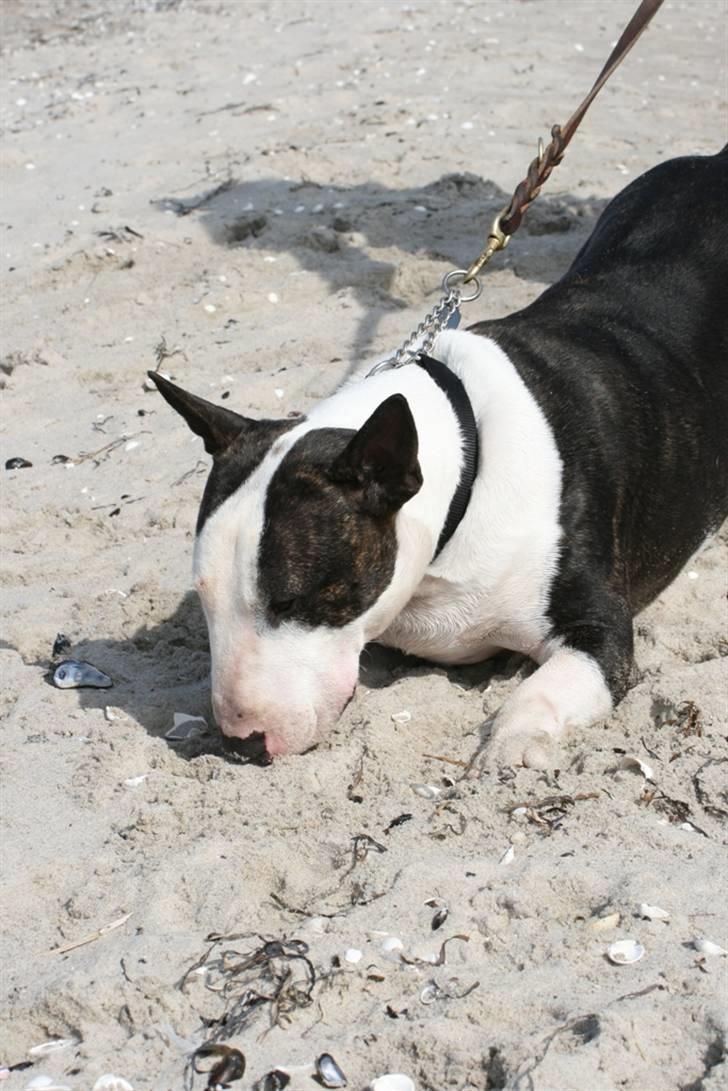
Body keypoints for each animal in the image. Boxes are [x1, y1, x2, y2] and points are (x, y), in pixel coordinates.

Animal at [150, 149, 724, 768]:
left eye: (292, 599)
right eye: (204, 598)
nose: (240, 744)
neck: (464, 467)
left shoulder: (599, 629)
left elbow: (546, 688)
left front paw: (511, 744)